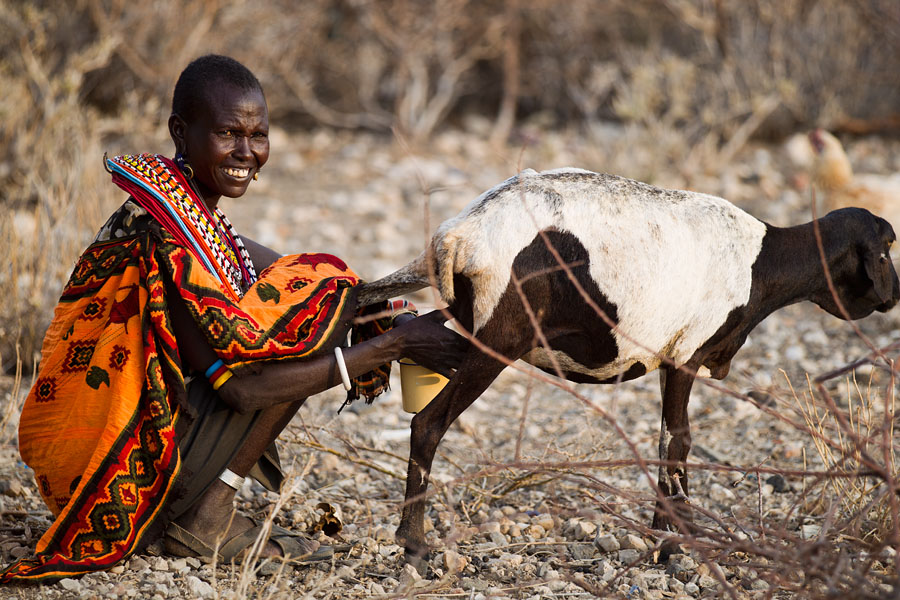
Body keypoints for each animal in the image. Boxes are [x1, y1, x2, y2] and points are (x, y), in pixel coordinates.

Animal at [357, 167, 899, 563]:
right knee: (428, 423)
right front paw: (674, 545)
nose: (893, 294)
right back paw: (413, 543)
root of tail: (459, 234)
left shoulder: (668, 357)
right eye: (886, 250)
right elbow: (679, 440)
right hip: (500, 339)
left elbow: (664, 440)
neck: (760, 260)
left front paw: (665, 536)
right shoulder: (687, 354)